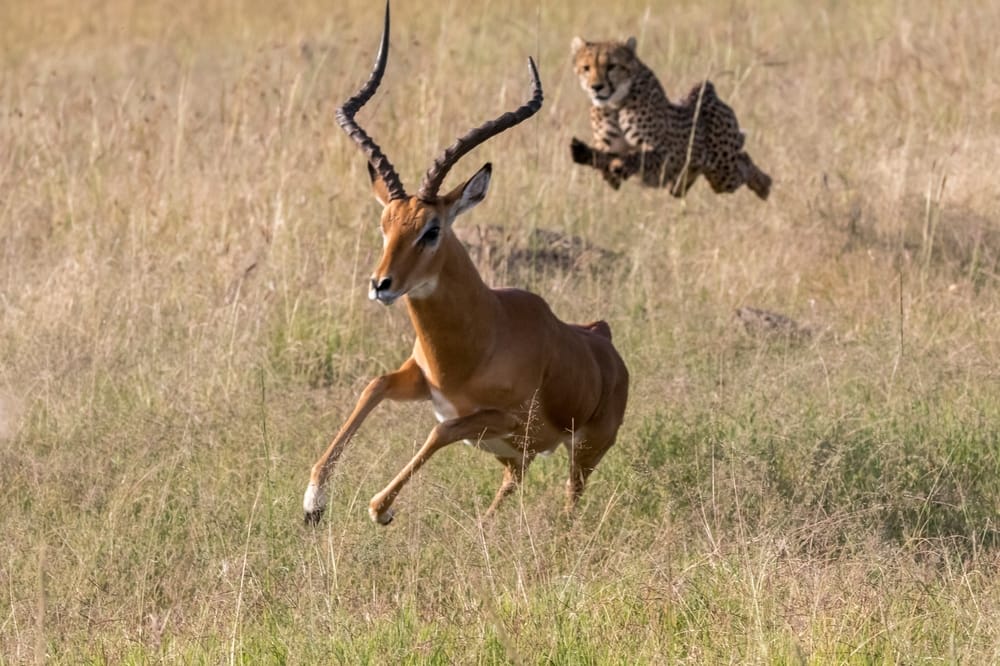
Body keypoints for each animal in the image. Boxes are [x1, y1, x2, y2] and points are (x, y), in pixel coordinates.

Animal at [303, 2, 629, 525]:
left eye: (431, 229)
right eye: (385, 222)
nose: (381, 284)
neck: (483, 337)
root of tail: (603, 339)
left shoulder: (500, 418)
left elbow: (440, 431)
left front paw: (380, 508)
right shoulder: (420, 381)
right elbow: (373, 385)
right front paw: (313, 502)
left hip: (581, 450)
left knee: (570, 496)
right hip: (515, 454)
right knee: (513, 481)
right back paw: (486, 525)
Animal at [569, 36, 771, 200]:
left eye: (612, 66)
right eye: (586, 68)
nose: (596, 87)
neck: (616, 104)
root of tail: (707, 90)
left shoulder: (666, 153)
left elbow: (638, 156)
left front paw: (620, 163)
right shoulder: (608, 150)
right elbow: (603, 159)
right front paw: (583, 151)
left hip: (723, 172)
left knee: (743, 161)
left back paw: (764, 185)